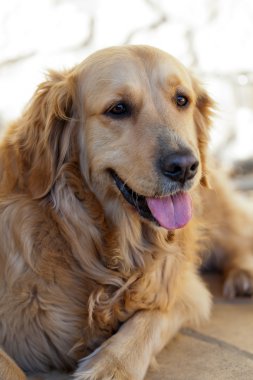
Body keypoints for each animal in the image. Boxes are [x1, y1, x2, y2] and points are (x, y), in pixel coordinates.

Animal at [0, 45, 253, 380]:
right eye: (118, 109)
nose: (185, 166)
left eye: (181, 100)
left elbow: (148, 320)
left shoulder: (182, 291)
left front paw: (111, 367)